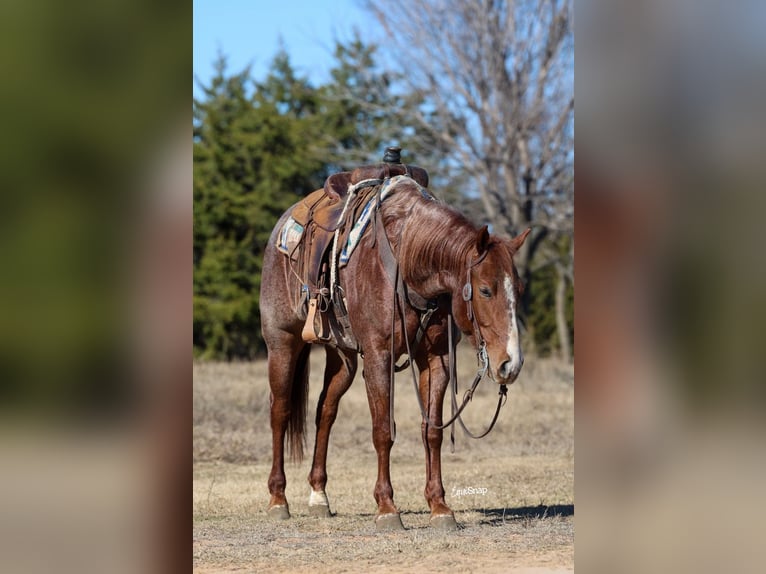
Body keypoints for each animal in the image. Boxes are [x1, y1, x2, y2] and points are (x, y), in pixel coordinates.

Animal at [260, 170, 530, 531]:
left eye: (520, 289)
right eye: (485, 290)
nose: (510, 364)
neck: (409, 263)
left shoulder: (437, 359)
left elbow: (432, 431)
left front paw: (439, 506)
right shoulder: (378, 357)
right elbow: (383, 431)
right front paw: (387, 508)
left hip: (342, 357)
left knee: (325, 412)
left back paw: (319, 496)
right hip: (282, 343)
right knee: (280, 411)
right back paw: (278, 499)